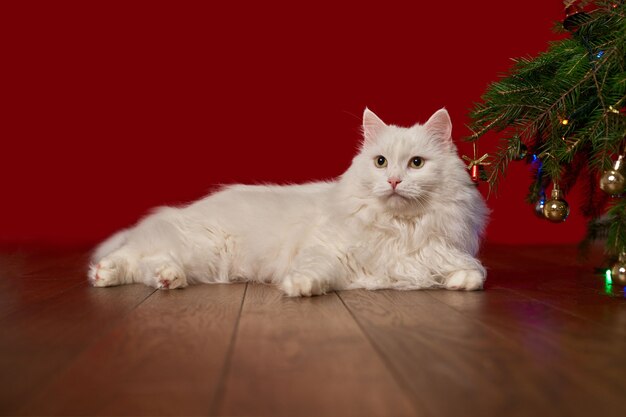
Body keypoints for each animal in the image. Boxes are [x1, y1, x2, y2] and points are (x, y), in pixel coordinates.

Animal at [89, 108, 488, 296]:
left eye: (416, 163)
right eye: (380, 162)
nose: (393, 181)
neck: (400, 229)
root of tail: (184, 212)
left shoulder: (443, 254)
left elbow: (473, 275)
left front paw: (457, 284)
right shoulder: (327, 250)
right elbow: (314, 271)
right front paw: (299, 287)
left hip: (198, 258)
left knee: (152, 264)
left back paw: (164, 278)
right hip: (201, 247)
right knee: (133, 255)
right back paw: (103, 274)